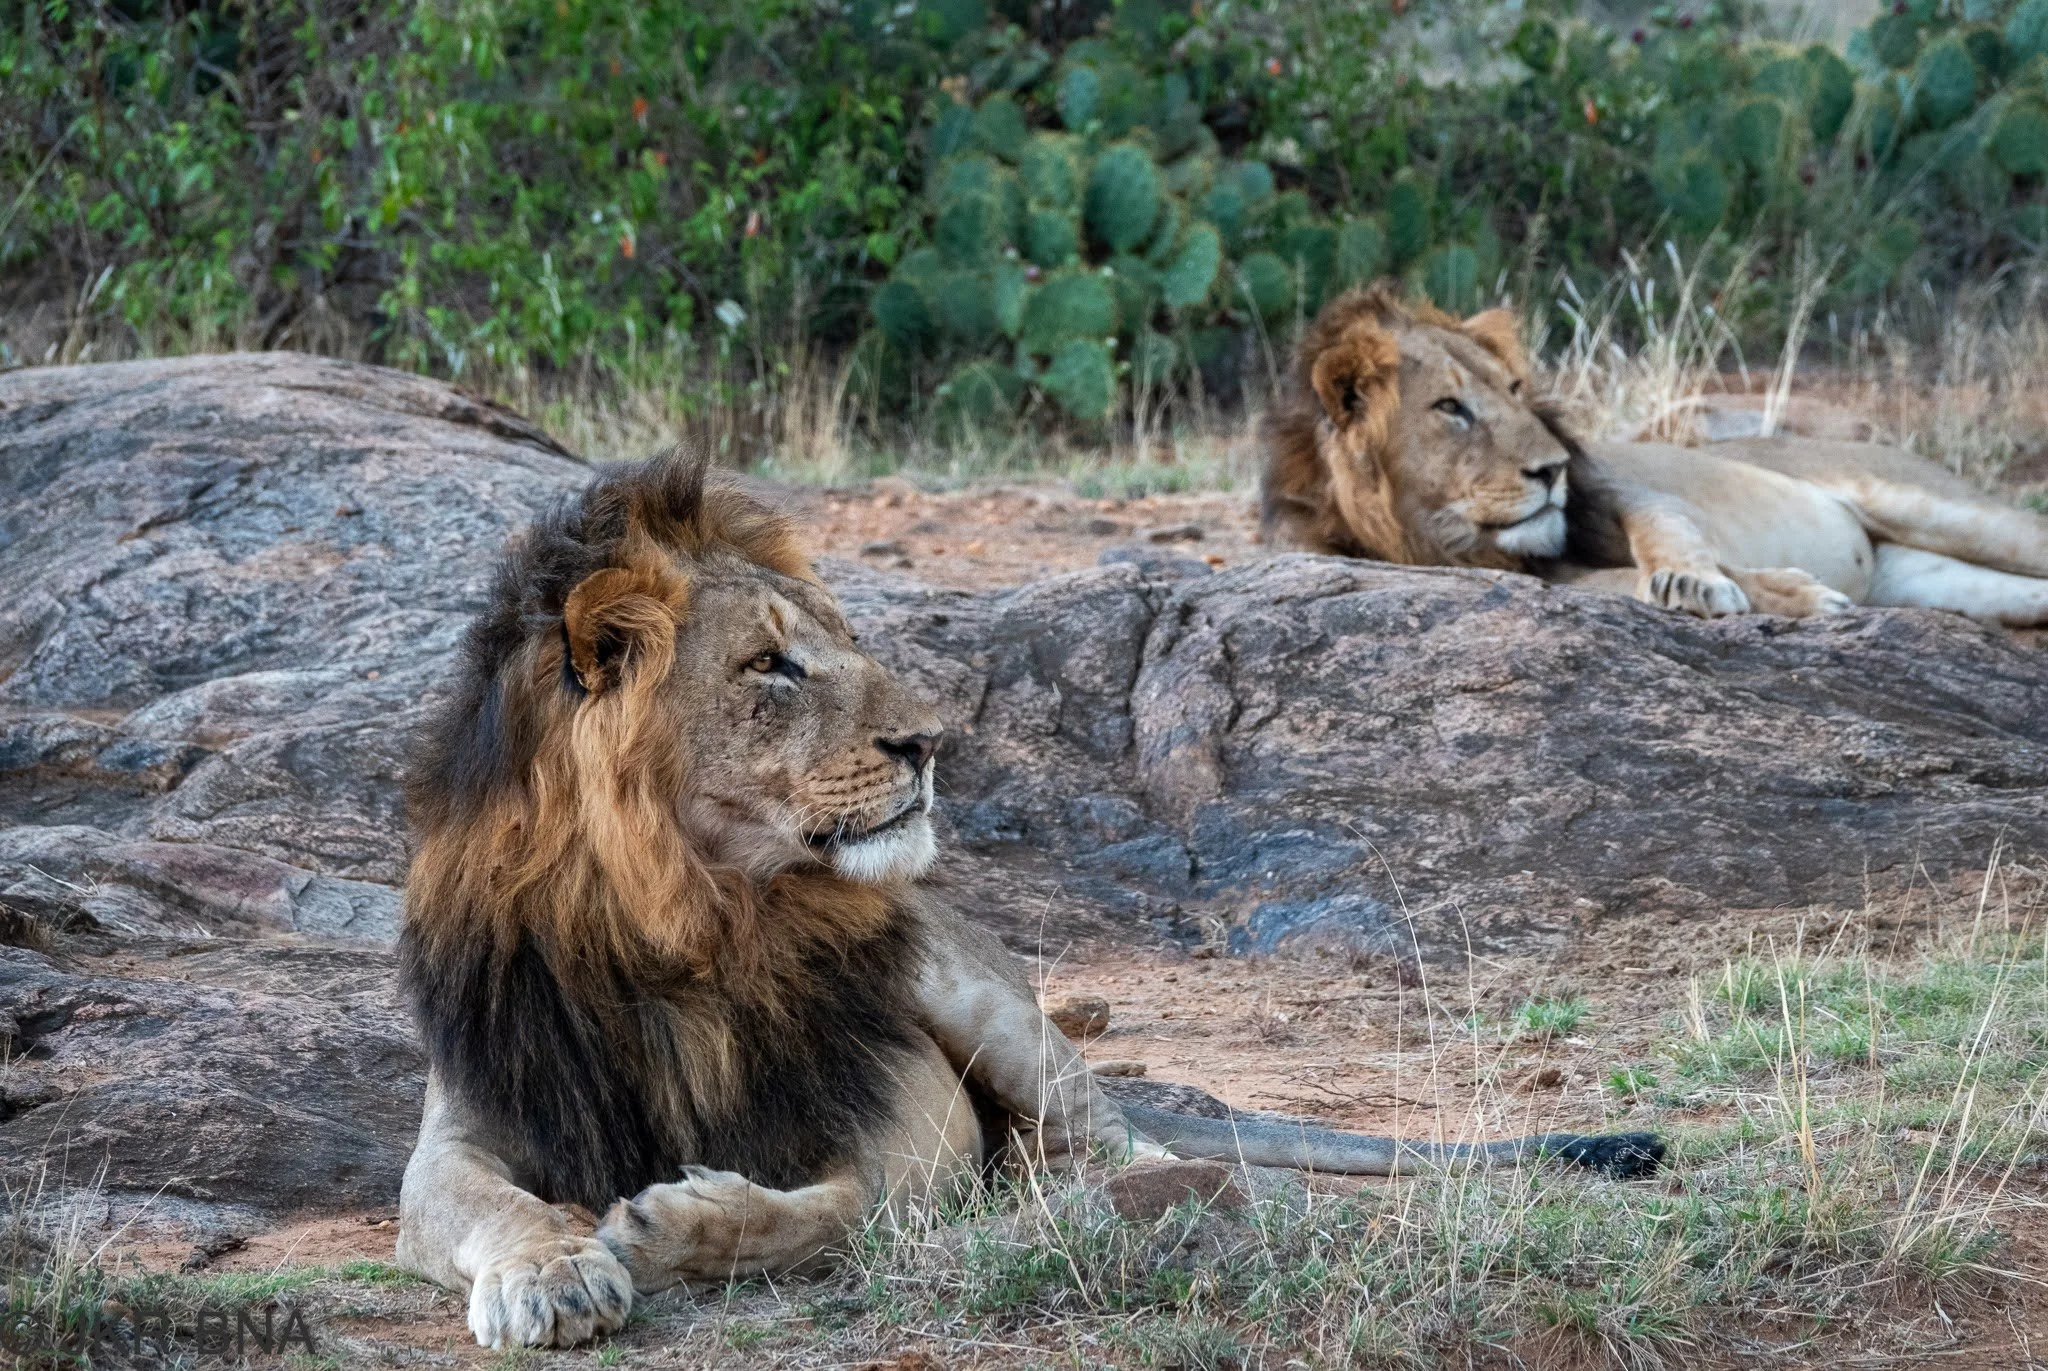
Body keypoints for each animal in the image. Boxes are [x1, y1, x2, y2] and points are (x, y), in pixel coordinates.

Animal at [394, 449, 1664, 1350]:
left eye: (840, 646)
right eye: (769, 667)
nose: (927, 742)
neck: (686, 926)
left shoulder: (906, 1123)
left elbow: (844, 1208)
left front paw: (677, 1227)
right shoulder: (467, 1125)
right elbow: (492, 1207)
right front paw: (554, 1273)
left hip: (977, 993)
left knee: (1113, 1146)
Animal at [1261, 285, 2048, 624]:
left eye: (1514, 390)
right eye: (1450, 408)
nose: (1554, 470)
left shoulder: (1623, 489)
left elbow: (1667, 528)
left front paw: (1704, 582)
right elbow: (1615, 584)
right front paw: (1784, 592)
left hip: (1942, 507)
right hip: (1931, 579)